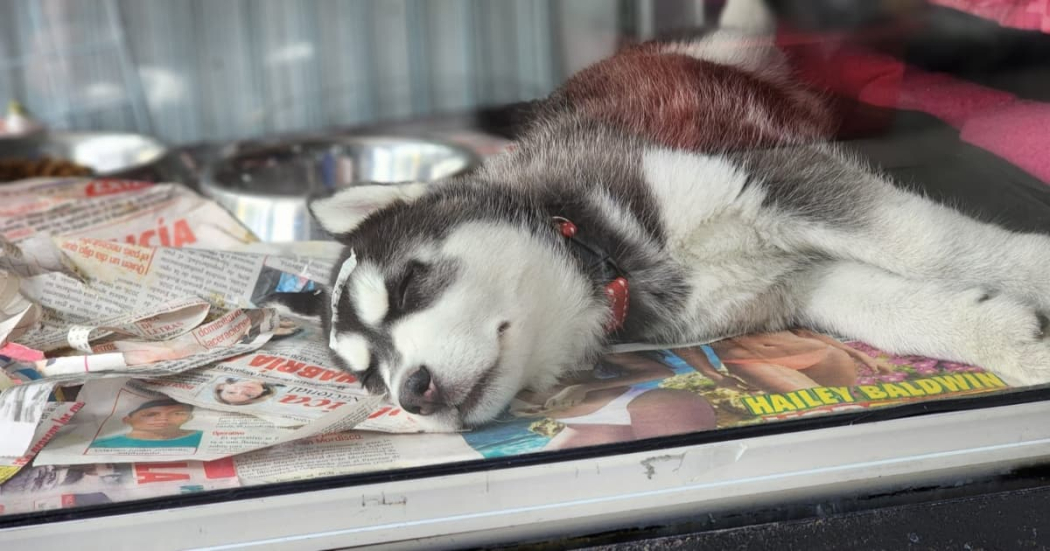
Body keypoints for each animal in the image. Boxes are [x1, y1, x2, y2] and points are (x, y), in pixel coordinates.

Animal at [273, 20, 1050, 430]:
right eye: (369, 380)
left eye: (410, 284)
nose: (412, 393)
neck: (603, 257)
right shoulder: (797, 280)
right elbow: (894, 306)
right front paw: (1011, 337)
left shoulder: (776, 181)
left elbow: (934, 243)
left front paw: (1033, 275)